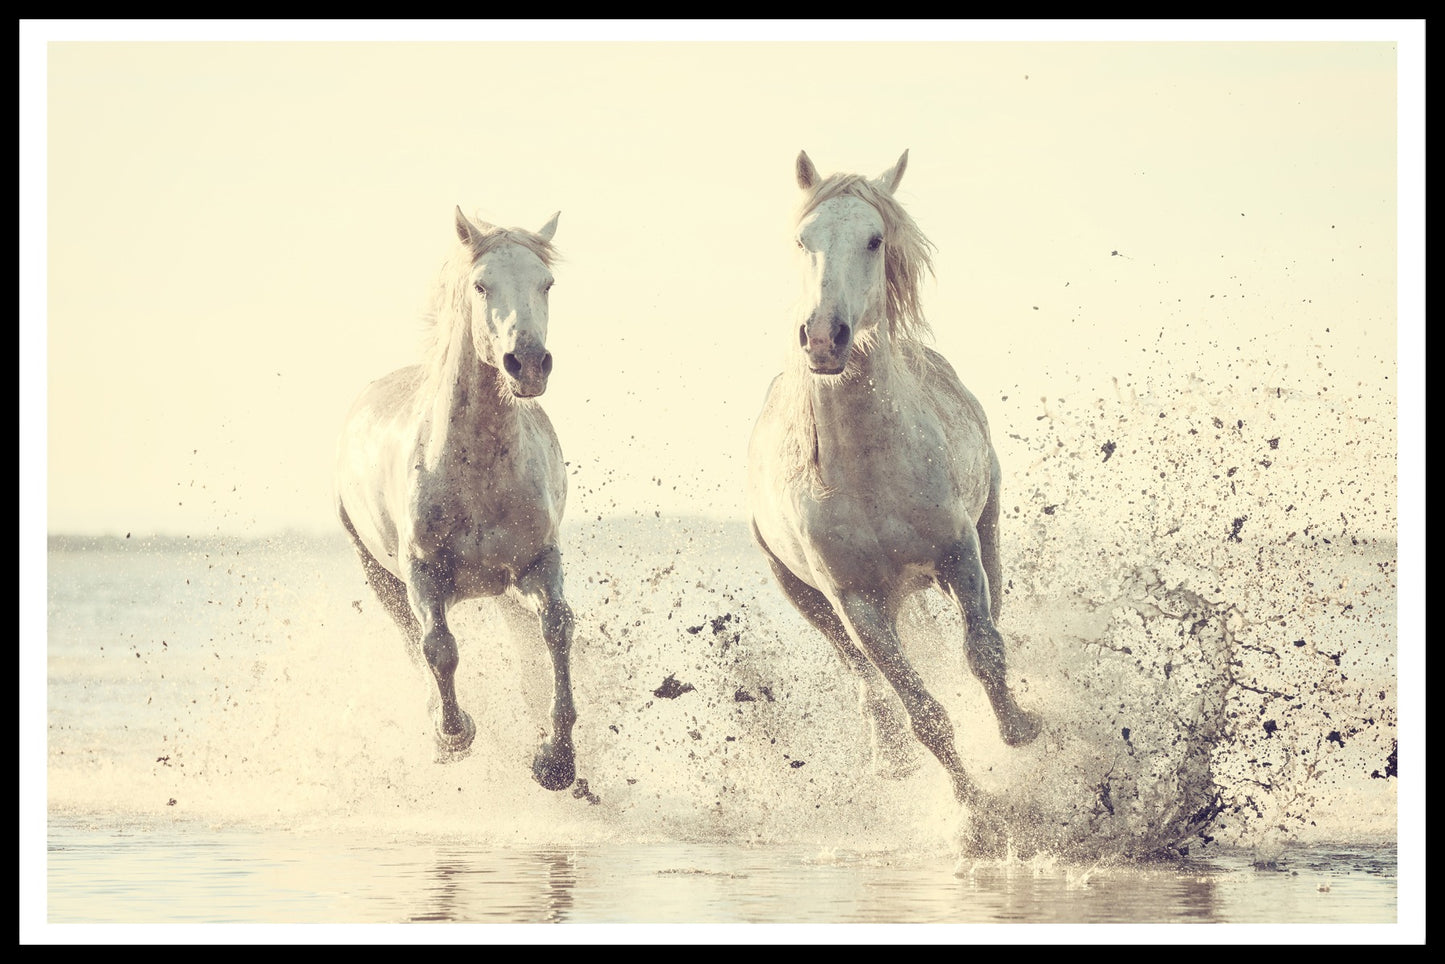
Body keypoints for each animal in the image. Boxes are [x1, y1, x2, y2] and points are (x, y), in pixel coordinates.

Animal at [334, 205, 578, 792]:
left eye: (547, 283)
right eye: (481, 284)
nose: (527, 363)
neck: (477, 472)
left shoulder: (539, 561)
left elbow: (557, 629)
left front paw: (556, 760)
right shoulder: (423, 573)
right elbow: (438, 648)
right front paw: (454, 735)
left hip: (505, 587)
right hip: (378, 575)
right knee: (411, 640)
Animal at [747, 150, 1042, 810]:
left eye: (874, 239)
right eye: (802, 239)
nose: (823, 337)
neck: (867, 471)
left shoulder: (958, 553)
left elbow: (984, 652)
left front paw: (1020, 729)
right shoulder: (856, 602)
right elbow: (922, 711)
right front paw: (977, 810)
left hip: (986, 528)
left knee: (994, 611)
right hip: (806, 597)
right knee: (864, 679)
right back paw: (889, 758)